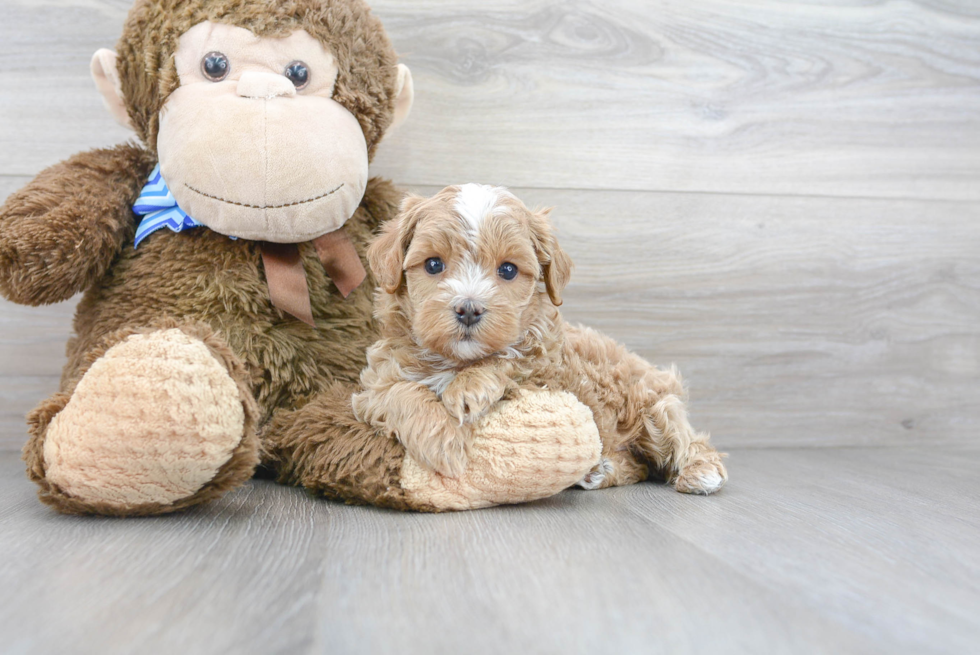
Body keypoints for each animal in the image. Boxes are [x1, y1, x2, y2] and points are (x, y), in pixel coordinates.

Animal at [352, 182, 728, 494]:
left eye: (507, 270)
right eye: (433, 265)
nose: (469, 309)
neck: (456, 360)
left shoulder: (545, 374)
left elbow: (510, 359)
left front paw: (469, 387)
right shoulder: (374, 384)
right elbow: (400, 393)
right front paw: (444, 443)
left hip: (653, 405)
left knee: (682, 436)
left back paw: (702, 471)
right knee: (639, 465)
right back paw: (602, 470)